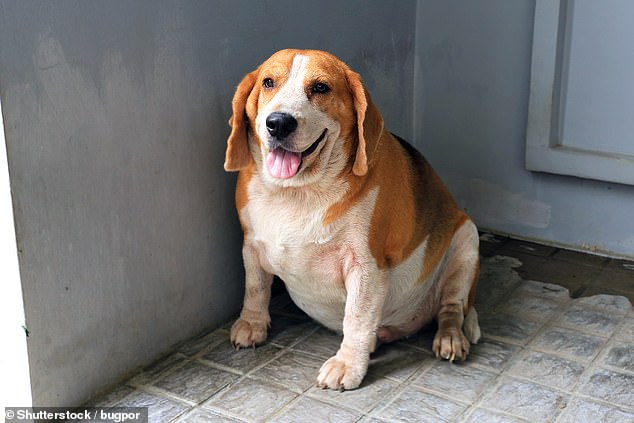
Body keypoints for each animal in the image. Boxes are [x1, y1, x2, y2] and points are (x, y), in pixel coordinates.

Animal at [222, 48, 478, 390]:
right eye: (268, 82)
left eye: (320, 88)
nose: (278, 123)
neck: (298, 192)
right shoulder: (251, 245)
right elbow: (255, 288)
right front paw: (252, 324)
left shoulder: (366, 267)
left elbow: (357, 318)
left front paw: (347, 365)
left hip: (467, 241)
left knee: (452, 309)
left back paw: (450, 338)